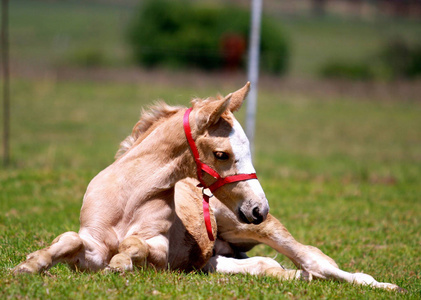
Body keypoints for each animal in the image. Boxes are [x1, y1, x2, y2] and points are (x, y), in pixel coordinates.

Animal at [15, 83, 270, 274]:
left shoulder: (160, 250)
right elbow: (71, 239)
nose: (259, 209)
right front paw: (29, 264)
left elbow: (134, 243)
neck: (130, 197)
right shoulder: (93, 246)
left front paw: (118, 264)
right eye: (221, 154)